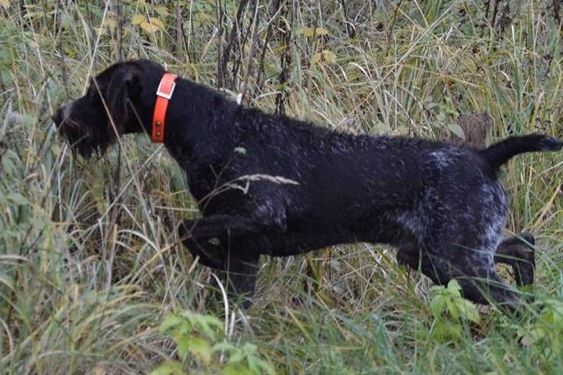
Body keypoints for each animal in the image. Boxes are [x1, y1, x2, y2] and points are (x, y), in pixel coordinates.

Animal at [51, 59, 560, 312]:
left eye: (95, 92)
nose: (60, 116)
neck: (206, 126)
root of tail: (485, 156)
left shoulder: (258, 217)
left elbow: (188, 232)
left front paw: (204, 256)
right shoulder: (245, 252)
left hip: (453, 260)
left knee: (520, 299)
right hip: (437, 254)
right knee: (523, 246)